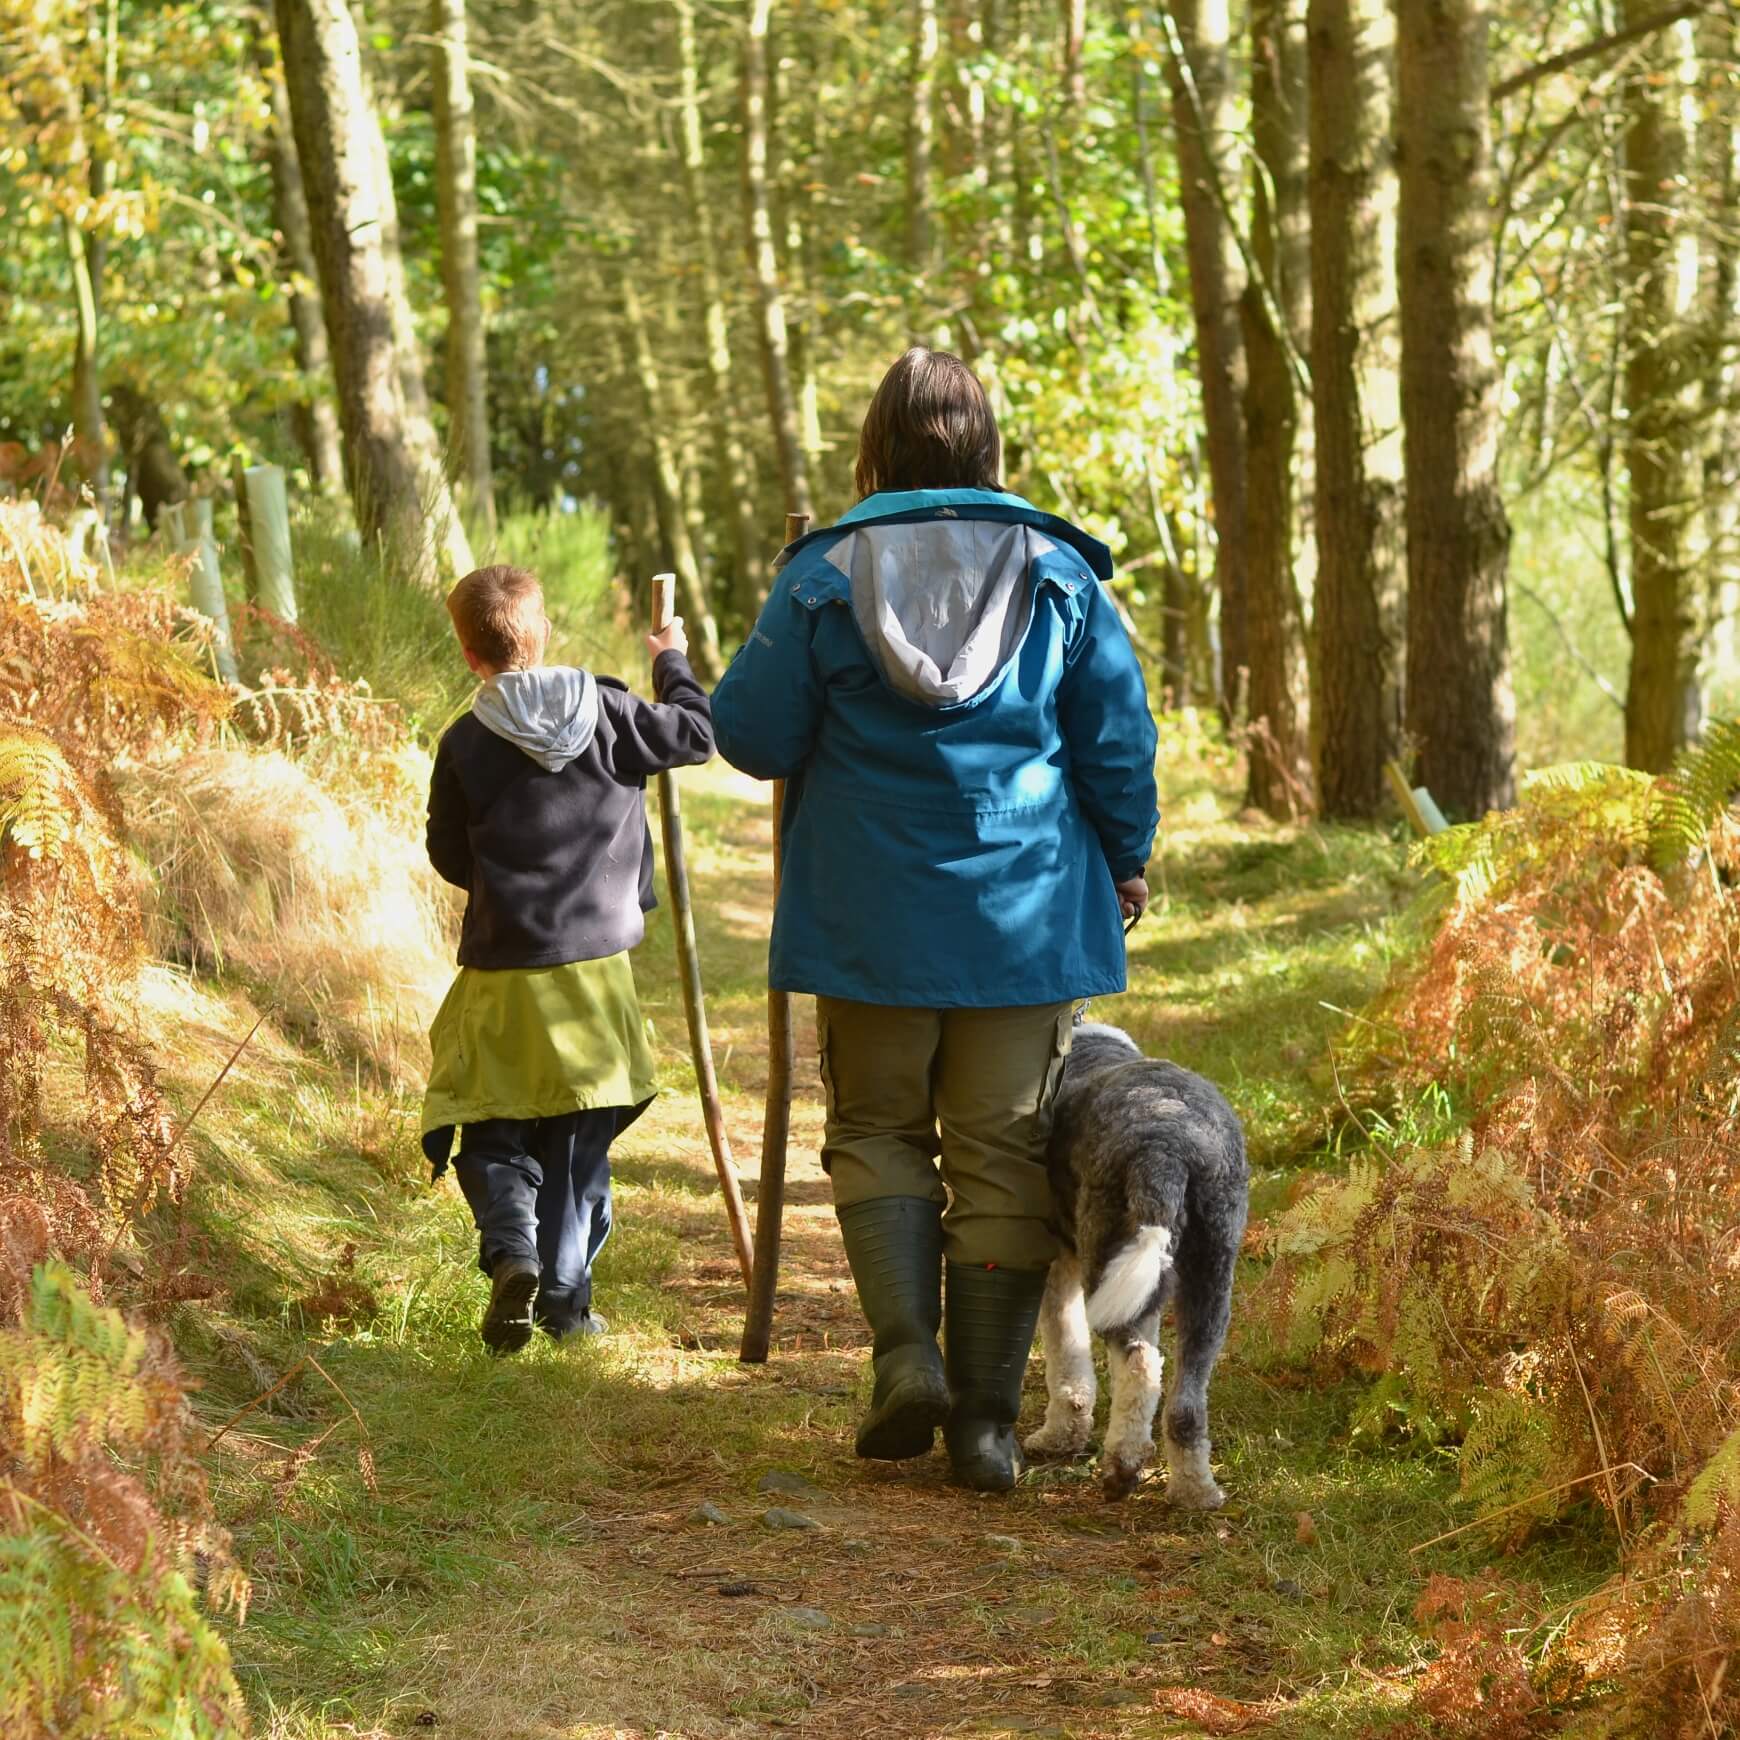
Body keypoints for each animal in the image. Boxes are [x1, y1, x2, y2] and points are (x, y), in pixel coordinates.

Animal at [1016, 1023, 1252, 1503]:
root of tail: (1166, 1146)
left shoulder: (1059, 1266)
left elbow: (1066, 1357)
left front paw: (1057, 1438)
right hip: (1210, 1272)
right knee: (1183, 1396)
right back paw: (1195, 1492)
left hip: (1107, 1254)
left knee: (1139, 1367)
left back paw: (1122, 1466)